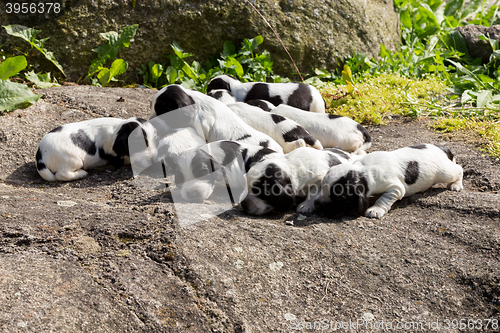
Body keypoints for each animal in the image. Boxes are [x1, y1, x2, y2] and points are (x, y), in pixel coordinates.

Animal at [314, 143, 462, 218]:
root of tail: (442, 148)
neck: (363, 170)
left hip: (444, 173)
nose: (316, 204)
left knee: (458, 169)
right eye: (322, 187)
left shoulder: (395, 187)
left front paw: (375, 210)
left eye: (339, 198)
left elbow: (383, 199)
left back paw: (456, 185)